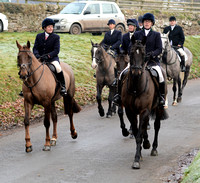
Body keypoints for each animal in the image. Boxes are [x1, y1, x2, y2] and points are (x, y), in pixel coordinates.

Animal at [120, 36, 169, 169]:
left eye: (143, 53)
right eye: (131, 53)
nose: (136, 73)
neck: (136, 87)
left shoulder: (144, 110)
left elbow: (139, 134)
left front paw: (137, 159)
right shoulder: (130, 111)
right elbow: (137, 131)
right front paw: (140, 154)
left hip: (158, 108)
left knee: (157, 126)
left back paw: (154, 148)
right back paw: (146, 143)